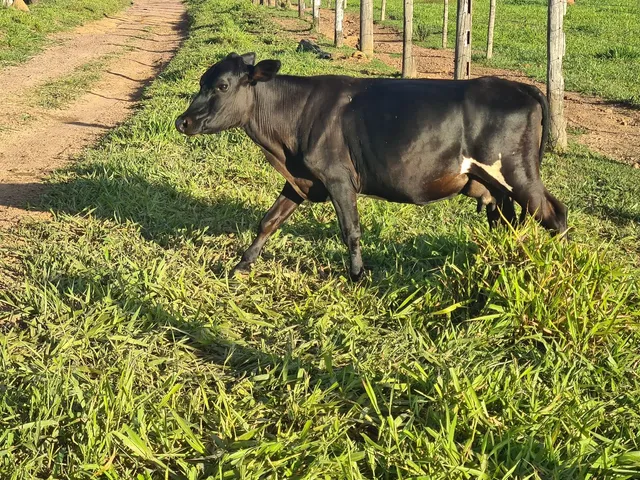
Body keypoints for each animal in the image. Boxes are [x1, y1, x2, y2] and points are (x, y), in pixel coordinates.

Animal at [176, 52, 568, 280]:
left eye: (222, 86)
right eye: (201, 82)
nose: (183, 121)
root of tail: (520, 87)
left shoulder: (337, 177)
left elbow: (350, 230)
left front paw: (357, 275)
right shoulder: (301, 178)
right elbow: (269, 220)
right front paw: (242, 264)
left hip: (518, 174)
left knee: (555, 215)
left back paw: (560, 269)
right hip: (496, 185)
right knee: (509, 224)